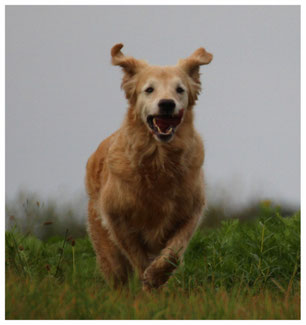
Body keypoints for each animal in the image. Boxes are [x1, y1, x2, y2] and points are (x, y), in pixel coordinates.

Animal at [85, 42, 212, 288]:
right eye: (149, 89)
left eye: (180, 89)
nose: (167, 104)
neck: (159, 162)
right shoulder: (116, 217)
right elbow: (136, 254)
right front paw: (149, 277)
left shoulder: (191, 210)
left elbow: (173, 252)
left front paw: (157, 275)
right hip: (105, 244)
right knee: (117, 276)